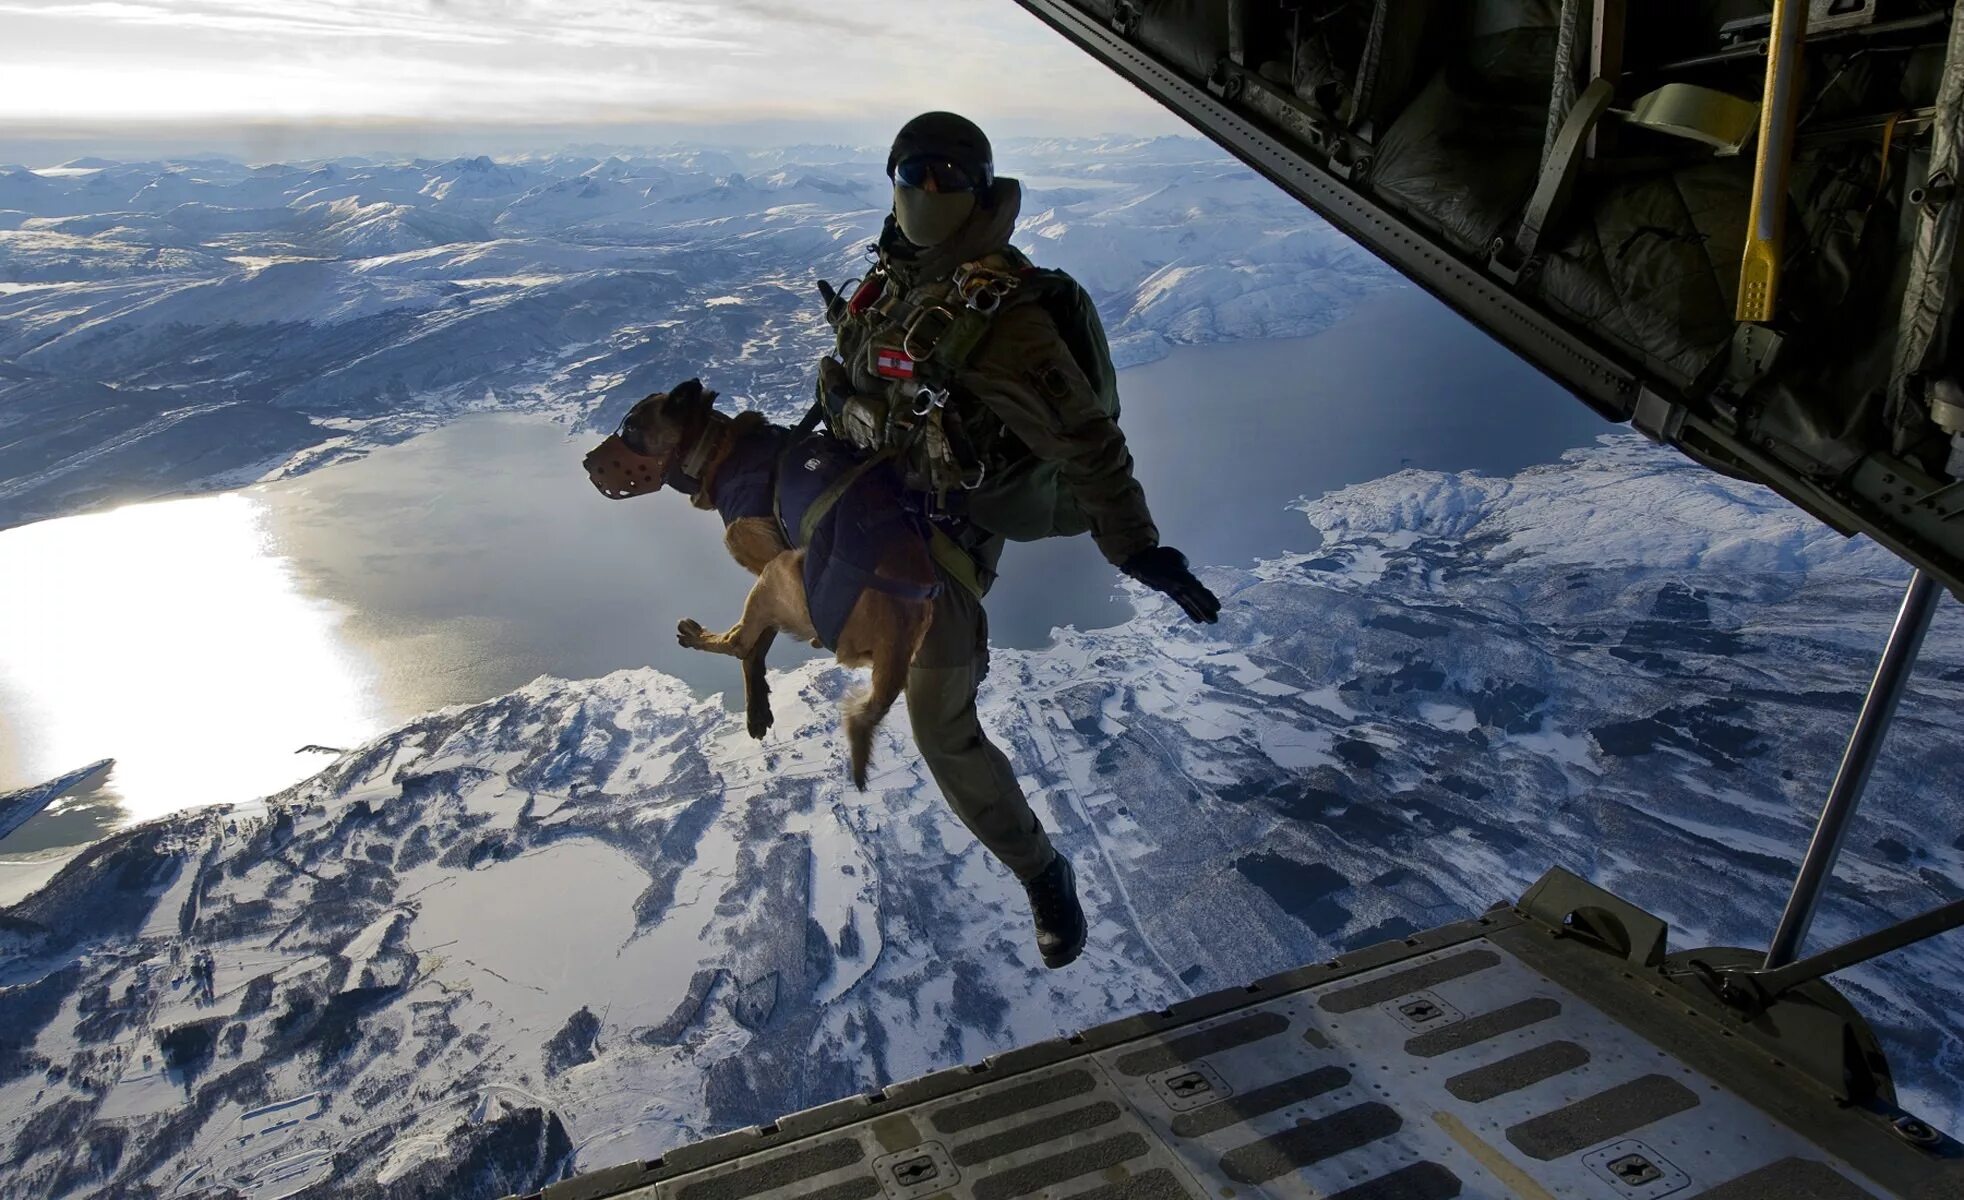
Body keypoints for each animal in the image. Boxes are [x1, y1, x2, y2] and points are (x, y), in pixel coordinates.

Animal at [585, 375, 938, 789]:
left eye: (630, 428)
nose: (585, 461)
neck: (719, 451)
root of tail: (897, 644)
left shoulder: (764, 561)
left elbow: (749, 646)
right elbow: (759, 647)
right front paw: (757, 705)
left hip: (777, 573)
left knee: (736, 642)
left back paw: (697, 636)